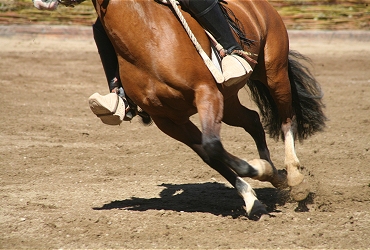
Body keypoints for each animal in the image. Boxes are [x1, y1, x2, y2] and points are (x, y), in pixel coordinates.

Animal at [84, 0, 326, 219]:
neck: (146, 38)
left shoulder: (206, 93)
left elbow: (212, 145)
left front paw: (259, 170)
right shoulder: (168, 120)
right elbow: (211, 155)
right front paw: (253, 198)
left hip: (275, 73)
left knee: (287, 120)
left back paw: (294, 178)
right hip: (228, 102)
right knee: (253, 120)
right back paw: (275, 174)